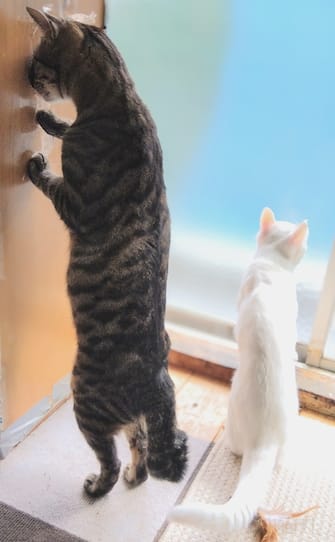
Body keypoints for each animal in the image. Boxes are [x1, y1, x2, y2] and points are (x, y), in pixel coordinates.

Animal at [25, 6, 189, 500]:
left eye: (37, 61)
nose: (25, 74)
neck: (120, 97)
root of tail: (159, 388)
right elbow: (62, 127)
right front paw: (50, 121)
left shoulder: (76, 205)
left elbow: (51, 180)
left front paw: (38, 161)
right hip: (124, 418)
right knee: (139, 445)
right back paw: (137, 476)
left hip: (85, 400)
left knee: (112, 458)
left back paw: (98, 486)